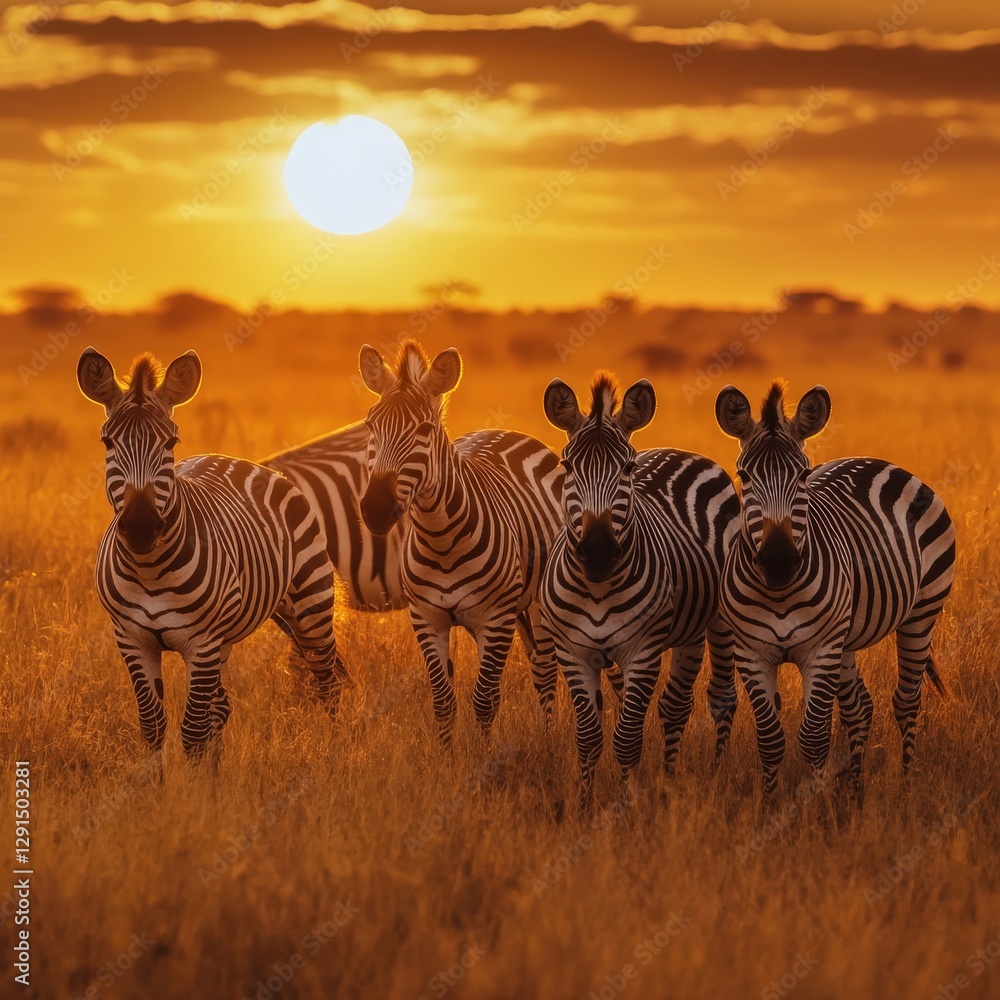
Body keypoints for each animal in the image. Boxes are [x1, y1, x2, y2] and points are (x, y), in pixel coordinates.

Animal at [77, 347, 347, 760]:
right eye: (107, 442)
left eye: (171, 443)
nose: (140, 527)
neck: (149, 569)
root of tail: (240, 459)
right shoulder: (131, 638)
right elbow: (153, 726)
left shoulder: (201, 643)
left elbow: (192, 731)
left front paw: (197, 781)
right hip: (228, 637)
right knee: (221, 707)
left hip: (310, 605)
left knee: (327, 684)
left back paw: (337, 756)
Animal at [357, 339, 563, 744]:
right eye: (370, 425)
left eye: (423, 429)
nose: (375, 509)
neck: (441, 539)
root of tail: (505, 431)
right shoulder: (426, 617)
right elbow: (442, 700)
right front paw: (446, 755)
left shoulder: (495, 618)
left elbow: (484, 700)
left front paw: (481, 756)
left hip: (536, 606)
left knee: (545, 675)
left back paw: (550, 743)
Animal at [538, 373, 740, 808]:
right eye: (567, 466)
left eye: (627, 468)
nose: (597, 551)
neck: (597, 586)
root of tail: (676, 450)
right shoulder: (572, 652)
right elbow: (589, 737)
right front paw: (585, 804)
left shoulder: (643, 651)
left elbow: (627, 738)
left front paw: (625, 804)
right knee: (667, 705)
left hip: (717, 623)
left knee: (708, 700)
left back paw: (701, 775)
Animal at [715, 380, 956, 799]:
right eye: (743, 477)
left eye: (803, 475)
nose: (778, 561)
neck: (779, 593)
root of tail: (878, 461)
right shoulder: (751, 652)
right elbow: (770, 739)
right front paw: (770, 804)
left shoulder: (820, 649)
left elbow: (813, 738)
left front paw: (813, 807)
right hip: (846, 639)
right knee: (860, 708)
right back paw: (855, 789)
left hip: (921, 614)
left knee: (906, 700)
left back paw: (906, 783)